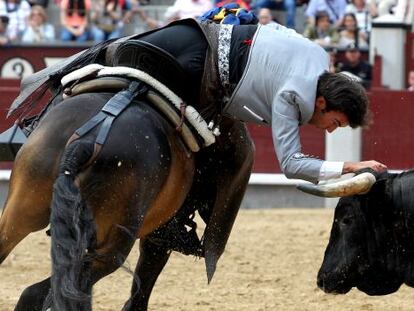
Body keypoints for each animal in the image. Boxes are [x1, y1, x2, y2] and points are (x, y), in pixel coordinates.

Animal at [0, 84, 256, 310]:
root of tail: (86, 142)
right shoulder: (160, 233)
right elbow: (144, 280)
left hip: (21, 211)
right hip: (112, 246)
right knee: (51, 291)